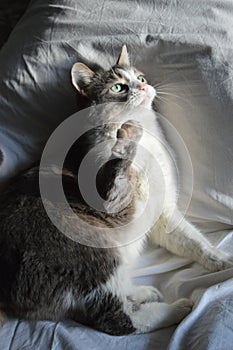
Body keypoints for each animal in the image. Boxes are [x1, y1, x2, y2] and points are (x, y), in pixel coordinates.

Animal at [0, 45, 232, 334]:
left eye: (140, 78)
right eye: (118, 87)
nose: (143, 87)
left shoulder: (163, 211)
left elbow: (194, 241)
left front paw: (222, 260)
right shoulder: (108, 199)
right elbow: (117, 170)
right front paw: (126, 139)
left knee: (123, 296)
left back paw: (143, 292)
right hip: (94, 251)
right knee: (116, 318)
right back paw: (176, 309)